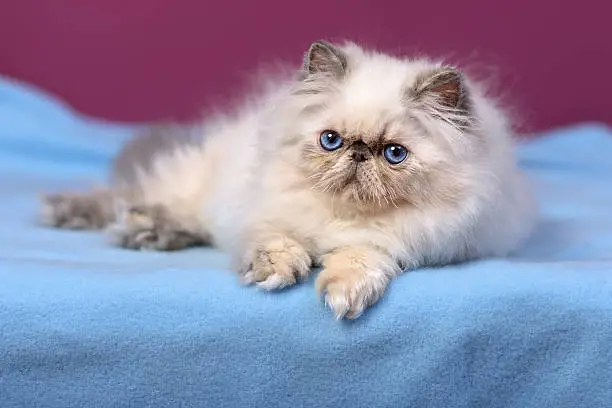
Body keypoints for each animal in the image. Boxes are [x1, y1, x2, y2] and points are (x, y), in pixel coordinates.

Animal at [38, 40, 536, 318]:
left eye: (394, 154)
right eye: (331, 141)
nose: (359, 153)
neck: (338, 216)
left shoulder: (399, 244)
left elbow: (359, 259)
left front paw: (342, 294)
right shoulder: (265, 219)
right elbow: (276, 245)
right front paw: (277, 273)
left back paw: (149, 234)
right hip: (190, 182)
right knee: (132, 199)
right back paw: (96, 218)